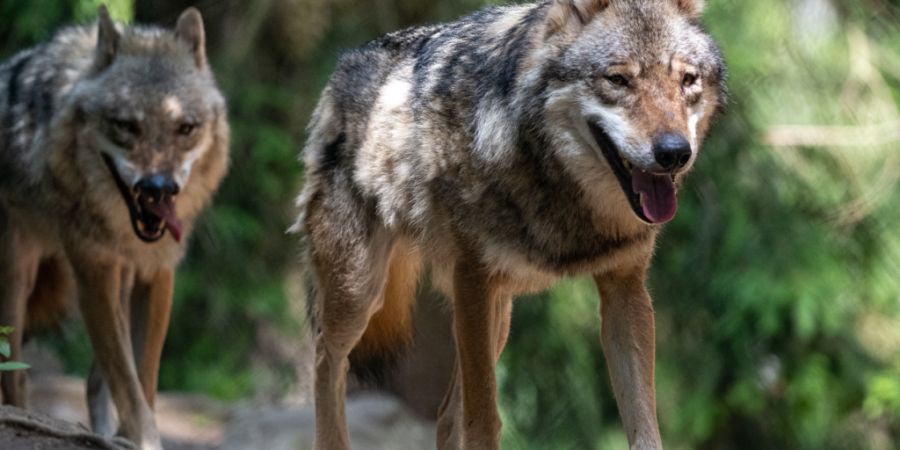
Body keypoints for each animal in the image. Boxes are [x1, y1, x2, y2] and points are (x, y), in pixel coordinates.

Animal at [0, 6, 228, 449]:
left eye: (185, 128)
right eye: (125, 125)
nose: (158, 188)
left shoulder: (156, 273)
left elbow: (144, 378)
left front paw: (130, 434)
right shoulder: (94, 273)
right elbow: (127, 383)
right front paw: (143, 437)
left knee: (92, 381)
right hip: (16, 281)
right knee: (15, 379)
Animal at [298, 0, 725, 448]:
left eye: (687, 80)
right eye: (619, 80)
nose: (675, 152)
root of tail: (346, 62)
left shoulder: (625, 288)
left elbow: (644, 424)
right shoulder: (472, 281)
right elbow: (484, 420)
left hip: (497, 315)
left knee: (445, 415)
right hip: (360, 293)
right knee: (326, 359)